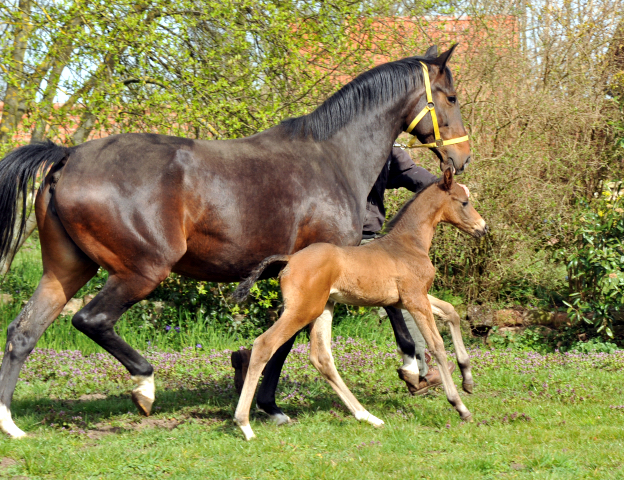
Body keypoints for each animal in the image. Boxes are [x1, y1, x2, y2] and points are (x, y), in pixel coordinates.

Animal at [233, 168, 488, 438]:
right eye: (464, 202)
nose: (483, 228)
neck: (409, 244)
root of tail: (290, 259)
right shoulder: (415, 299)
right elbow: (437, 345)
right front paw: (460, 406)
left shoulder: (411, 298)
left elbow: (452, 312)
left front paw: (468, 379)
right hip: (303, 310)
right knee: (264, 345)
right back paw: (245, 425)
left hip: (323, 308)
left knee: (321, 357)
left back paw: (367, 416)